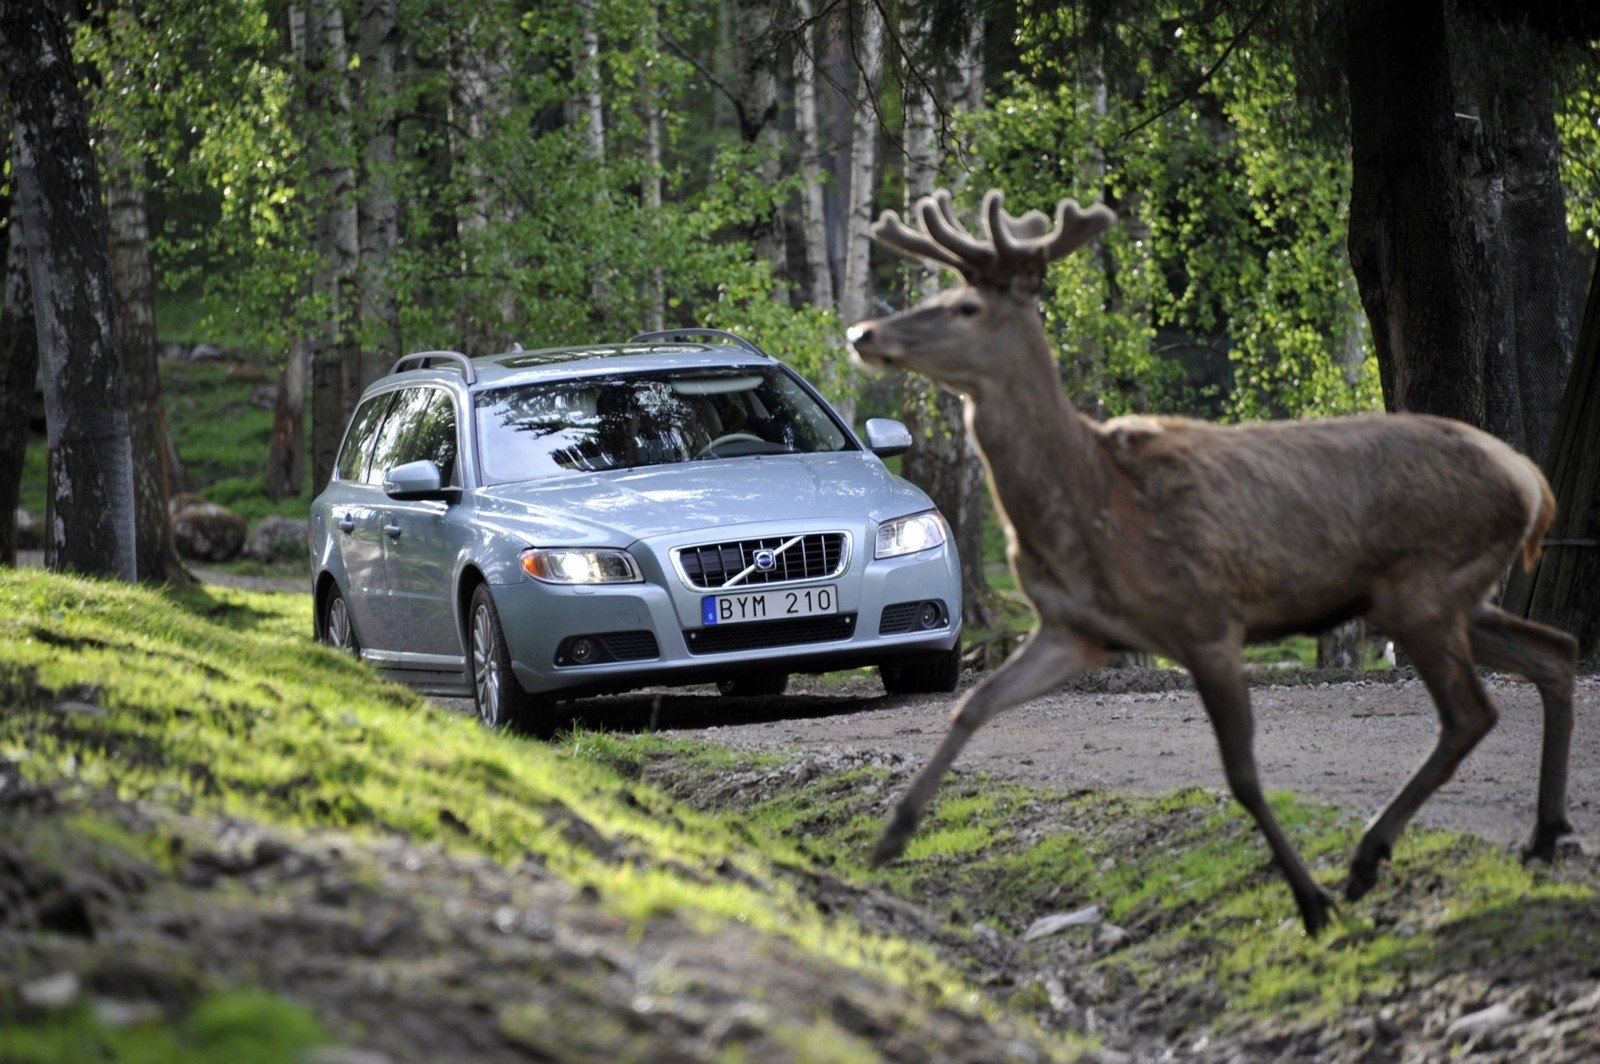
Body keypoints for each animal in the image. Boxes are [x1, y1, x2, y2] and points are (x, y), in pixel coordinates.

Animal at [851, 188, 1574, 928]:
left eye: (967, 307)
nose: (863, 335)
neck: (1094, 503)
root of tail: (1530, 479)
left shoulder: (1206, 619)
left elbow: (1243, 774)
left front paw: (1309, 901)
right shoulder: (1075, 629)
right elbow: (972, 706)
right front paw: (892, 836)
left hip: (1424, 587)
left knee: (1472, 712)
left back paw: (1368, 859)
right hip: (1441, 595)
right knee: (1556, 650)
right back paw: (1539, 836)